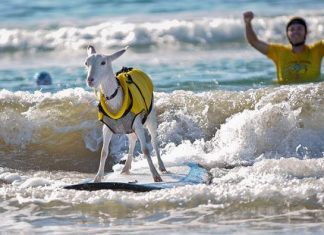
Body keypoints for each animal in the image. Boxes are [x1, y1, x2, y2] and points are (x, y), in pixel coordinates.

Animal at [85, 45, 166, 182]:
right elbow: (103, 152)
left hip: (150, 115)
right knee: (132, 139)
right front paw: (97, 177)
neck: (116, 98)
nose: (90, 80)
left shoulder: (138, 122)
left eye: (103, 62)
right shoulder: (107, 127)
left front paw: (156, 176)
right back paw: (126, 168)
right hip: (127, 126)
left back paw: (161, 167)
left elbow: (145, 149)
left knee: (154, 140)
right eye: (86, 63)